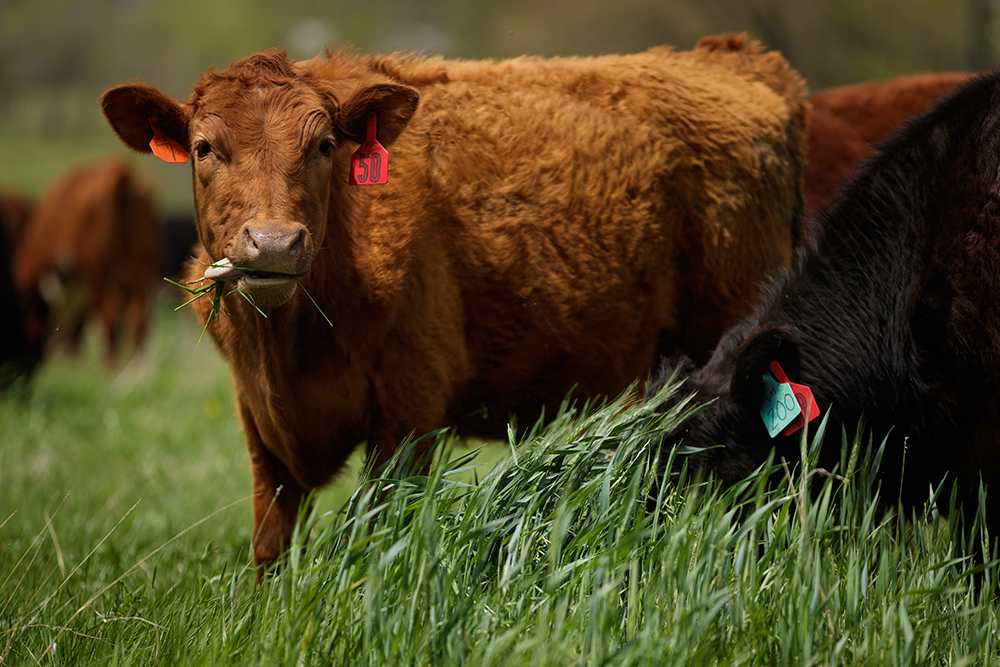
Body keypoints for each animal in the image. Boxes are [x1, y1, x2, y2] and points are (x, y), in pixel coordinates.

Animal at [99, 34, 804, 572]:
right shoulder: (261, 427)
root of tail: (732, 59)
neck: (292, 348)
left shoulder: (409, 414)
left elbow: (377, 537)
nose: (273, 243)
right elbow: (270, 548)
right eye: (204, 148)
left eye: (324, 145)